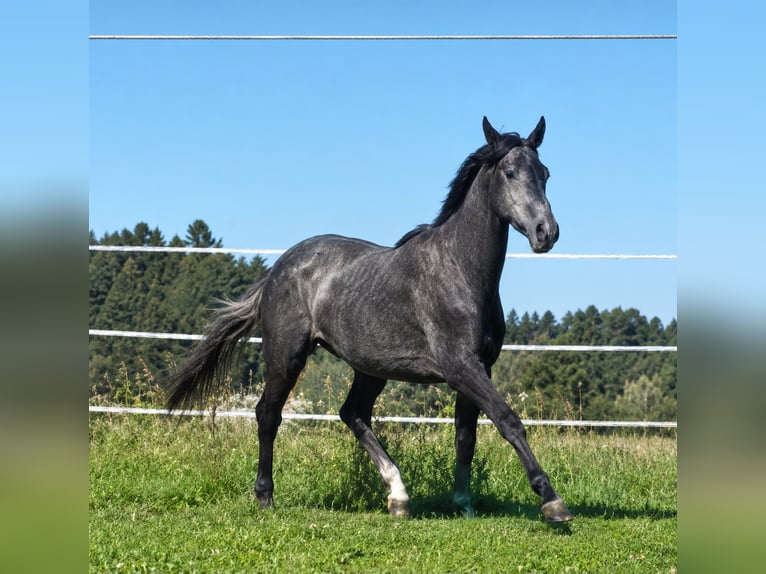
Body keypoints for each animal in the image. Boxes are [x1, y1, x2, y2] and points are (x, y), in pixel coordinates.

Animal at [166, 115, 573, 523]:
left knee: (353, 413)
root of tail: (279, 267)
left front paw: (464, 505)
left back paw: (398, 496)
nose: (547, 232)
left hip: (371, 367)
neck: (460, 270)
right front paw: (552, 501)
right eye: (509, 172)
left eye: (545, 173)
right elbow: (508, 421)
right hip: (286, 355)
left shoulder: (480, 367)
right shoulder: (461, 367)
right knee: (269, 414)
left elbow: (465, 437)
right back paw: (266, 497)